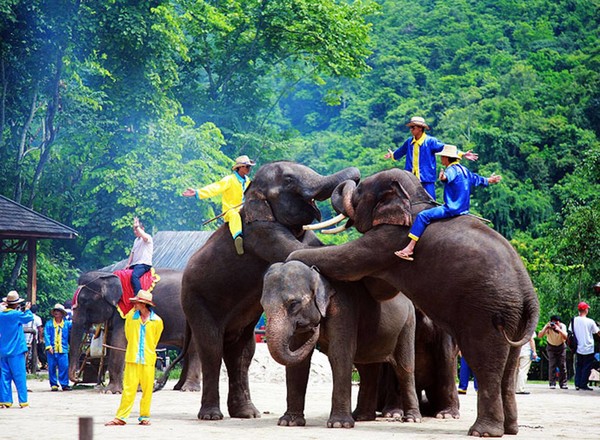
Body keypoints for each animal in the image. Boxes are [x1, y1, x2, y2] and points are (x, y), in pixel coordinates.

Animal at [67, 270, 200, 394]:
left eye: (84, 301)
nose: (77, 377)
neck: (109, 275)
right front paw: (136, 389)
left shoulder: (125, 312)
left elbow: (118, 342)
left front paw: (110, 391)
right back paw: (178, 387)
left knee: (193, 349)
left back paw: (189, 389)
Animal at [180, 161, 358, 420]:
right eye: (289, 181)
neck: (253, 195)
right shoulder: (261, 234)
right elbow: (295, 252)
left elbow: (311, 250)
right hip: (195, 300)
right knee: (211, 348)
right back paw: (212, 415)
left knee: (242, 353)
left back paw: (247, 414)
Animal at [260, 260, 420, 428]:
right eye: (262, 305)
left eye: (294, 303)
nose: (314, 328)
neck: (317, 274)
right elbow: (298, 362)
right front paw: (289, 422)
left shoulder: (343, 308)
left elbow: (339, 355)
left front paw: (339, 424)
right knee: (367, 370)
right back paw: (362, 417)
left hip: (408, 324)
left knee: (404, 368)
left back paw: (412, 418)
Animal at [286, 168, 540, 436]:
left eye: (360, 191)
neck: (414, 197)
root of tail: (529, 297)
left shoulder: (390, 240)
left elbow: (347, 260)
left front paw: (293, 257)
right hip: (513, 320)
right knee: (508, 367)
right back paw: (511, 429)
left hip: (486, 314)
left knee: (484, 363)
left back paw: (481, 432)